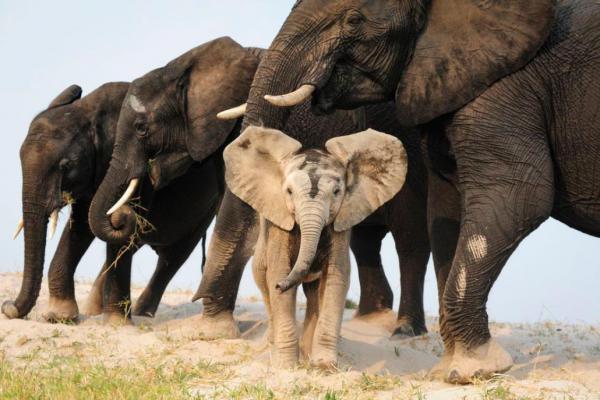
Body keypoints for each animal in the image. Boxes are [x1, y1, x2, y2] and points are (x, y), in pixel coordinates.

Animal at [3, 83, 219, 324]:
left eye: (65, 166)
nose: (8, 307)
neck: (89, 110)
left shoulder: (136, 166)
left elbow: (92, 224)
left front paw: (61, 316)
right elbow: (81, 224)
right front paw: (60, 316)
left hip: (208, 207)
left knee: (172, 257)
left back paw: (141, 313)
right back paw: (95, 310)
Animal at [85, 37, 432, 338]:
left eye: (142, 128)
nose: (122, 217)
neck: (187, 66)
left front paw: (214, 326)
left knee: (409, 235)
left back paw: (405, 331)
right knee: (365, 240)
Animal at [225, 126, 408, 368]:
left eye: (337, 192)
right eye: (289, 192)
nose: (280, 286)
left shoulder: (341, 222)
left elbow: (336, 278)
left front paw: (324, 367)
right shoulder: (279, 224)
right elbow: (279, 271)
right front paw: (286, 367)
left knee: (313, 295)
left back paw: (307, 355)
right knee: (266, 287)